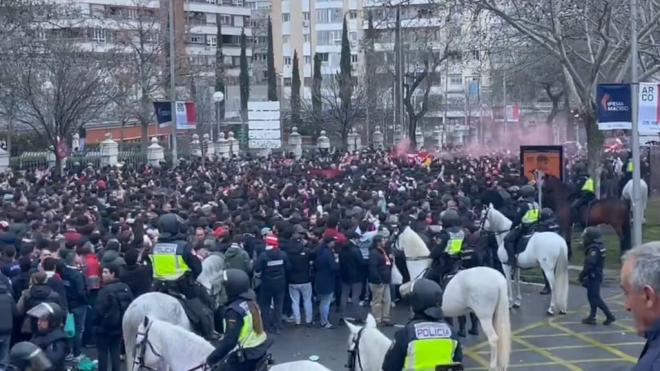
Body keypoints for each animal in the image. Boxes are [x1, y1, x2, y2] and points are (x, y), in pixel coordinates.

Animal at [394, 227, 512, 371]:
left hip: (484, 315)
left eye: (396, 236)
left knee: (494, 338)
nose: (392, 250)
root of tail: (498, 279)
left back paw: (492, 366)